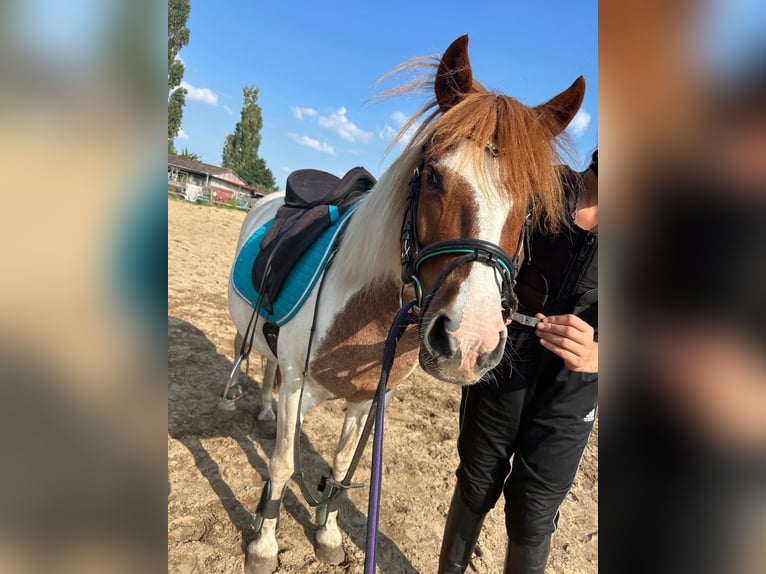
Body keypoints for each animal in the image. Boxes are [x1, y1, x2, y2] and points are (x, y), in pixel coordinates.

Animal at [227, 35, 584, 573]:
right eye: (433, 176)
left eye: (531, 206)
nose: (469, 343)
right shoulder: (298, 385)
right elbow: (284, 465)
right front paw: (264, 545)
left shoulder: (367, 400)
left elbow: (340, 467)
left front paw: (327, 534)